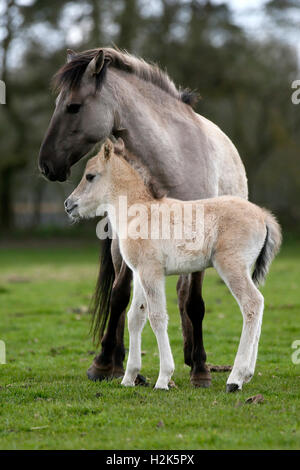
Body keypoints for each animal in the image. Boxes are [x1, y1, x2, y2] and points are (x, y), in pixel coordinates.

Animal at [38, 47, 248, 388]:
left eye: (73, 107)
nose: (46, 164)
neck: (171, 160)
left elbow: (194, 303)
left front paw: (200, 370)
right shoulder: (130, 245)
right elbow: (120, 297)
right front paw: (105, 363)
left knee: (184, 296)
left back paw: (192, 356)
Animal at [65, 138, 282, 392]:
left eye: (90, 176)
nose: (68, 204)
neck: (139, 211)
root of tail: (263, 216)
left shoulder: (152, 273)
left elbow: (158, 318)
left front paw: (163, 378)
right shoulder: (140, 273)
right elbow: (135, 317)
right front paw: (129, 378)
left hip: (232, 266)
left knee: (251, 304)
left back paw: (235, 378)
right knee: (259, 304)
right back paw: (246, 374)